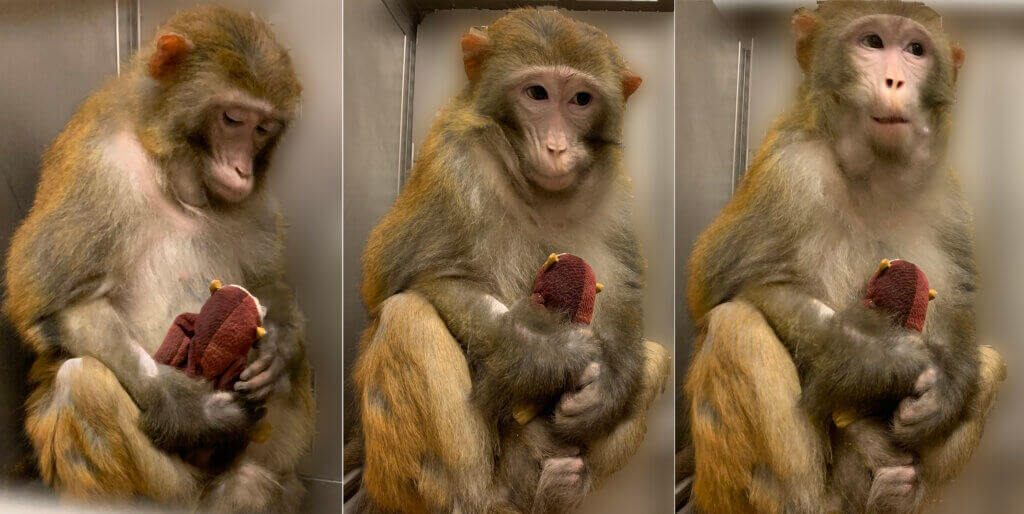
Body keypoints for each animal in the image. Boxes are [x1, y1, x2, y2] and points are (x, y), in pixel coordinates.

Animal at [3, 7, 311, 509]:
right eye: (232, 118)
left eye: (262, 128)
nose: (242, 169)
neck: (171, 171)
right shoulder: (100, 167)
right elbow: (53, 304)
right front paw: (187, 408)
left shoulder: (256, 202)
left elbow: (268, 283)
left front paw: (277, 348)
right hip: (169, 487)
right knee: (80, 381)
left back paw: (247, 484)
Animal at [352, 8, 671, 514]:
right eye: (537, 93)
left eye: (581, 99)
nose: (557, 146)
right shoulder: (454, 162)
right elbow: (420, 275)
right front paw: (546, 352)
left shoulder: (612, 188)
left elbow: (620, 286)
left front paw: (607, 389)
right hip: (399, 479)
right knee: (408, 317)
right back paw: (472, 499)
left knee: (655, 358)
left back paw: (562, 481)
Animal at [684, 2, 1003, 511]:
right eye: (872, 42)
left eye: (915, 49)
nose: (894, 81)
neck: (876, 174)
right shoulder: (789, 172)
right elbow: (738, 285)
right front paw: (888, 359)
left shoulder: (949, 198)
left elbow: (957, 305)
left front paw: (946, 389)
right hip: (727, 489)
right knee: (737, 326)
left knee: (989, 364)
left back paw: (898, 489)